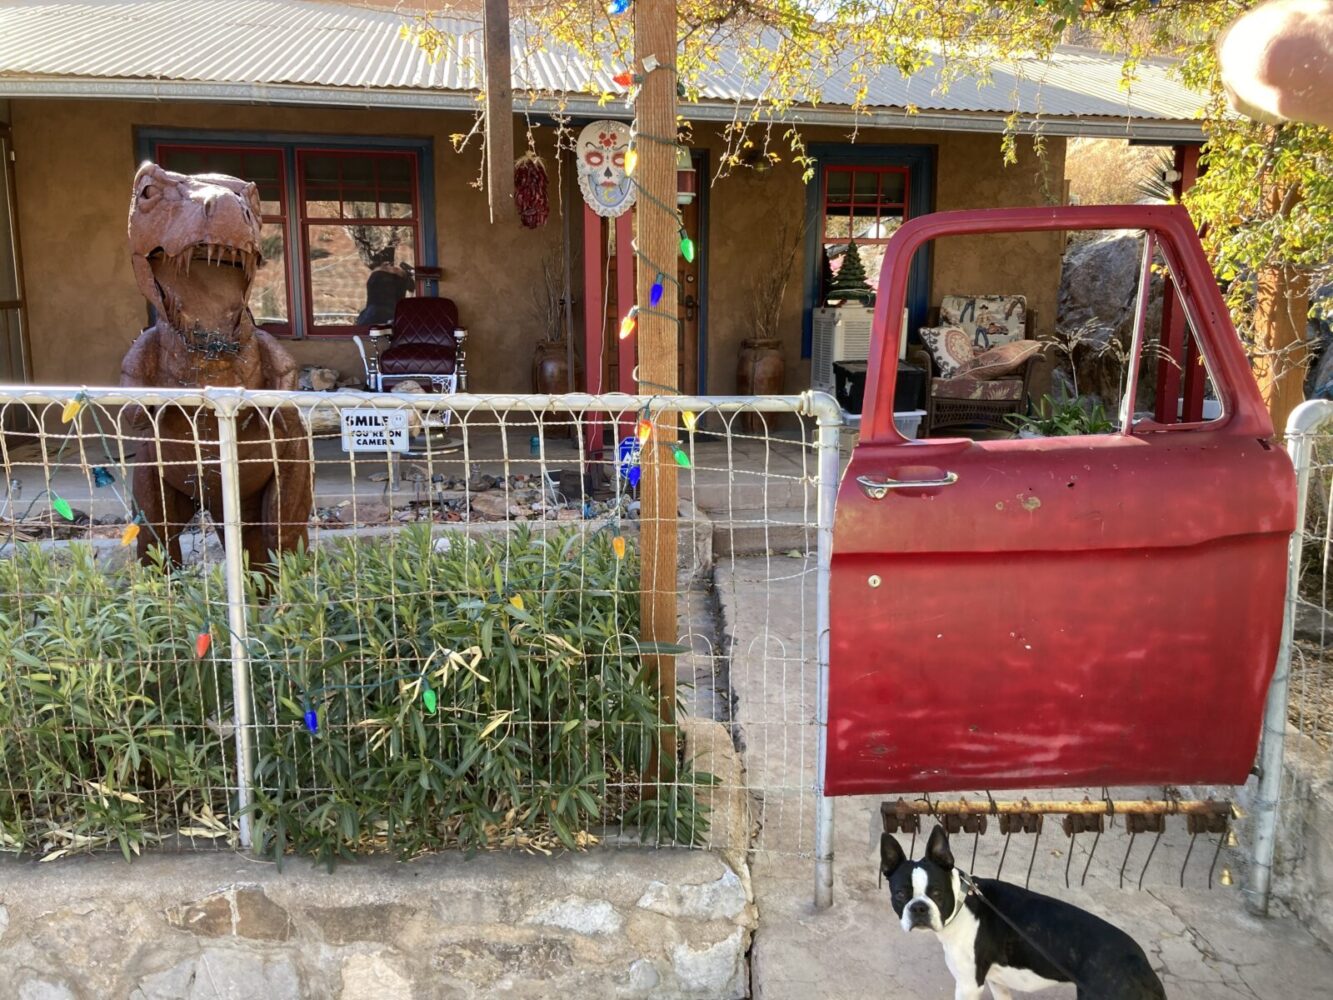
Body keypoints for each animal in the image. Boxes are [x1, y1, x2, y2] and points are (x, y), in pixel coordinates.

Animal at [885, 826, 1167, 997]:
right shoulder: (997, 982)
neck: (963, 904)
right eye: (900, 894)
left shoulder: (968, 986)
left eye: (937, 894)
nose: (919, 907)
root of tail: (1141, 964)